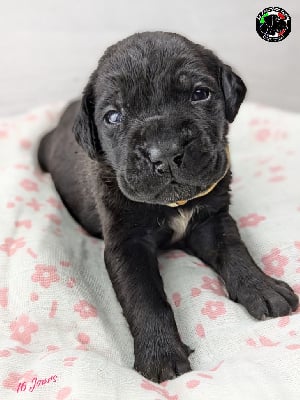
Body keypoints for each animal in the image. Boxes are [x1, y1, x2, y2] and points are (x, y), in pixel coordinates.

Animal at [37, 30, 298, 382]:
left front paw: (262, 288)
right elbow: (145, 297)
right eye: (113, 117)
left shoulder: (212, 220)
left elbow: (235, 251)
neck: (174, 203)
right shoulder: (127, 245)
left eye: (200, 94)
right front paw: (160, 354)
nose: (165, 151)